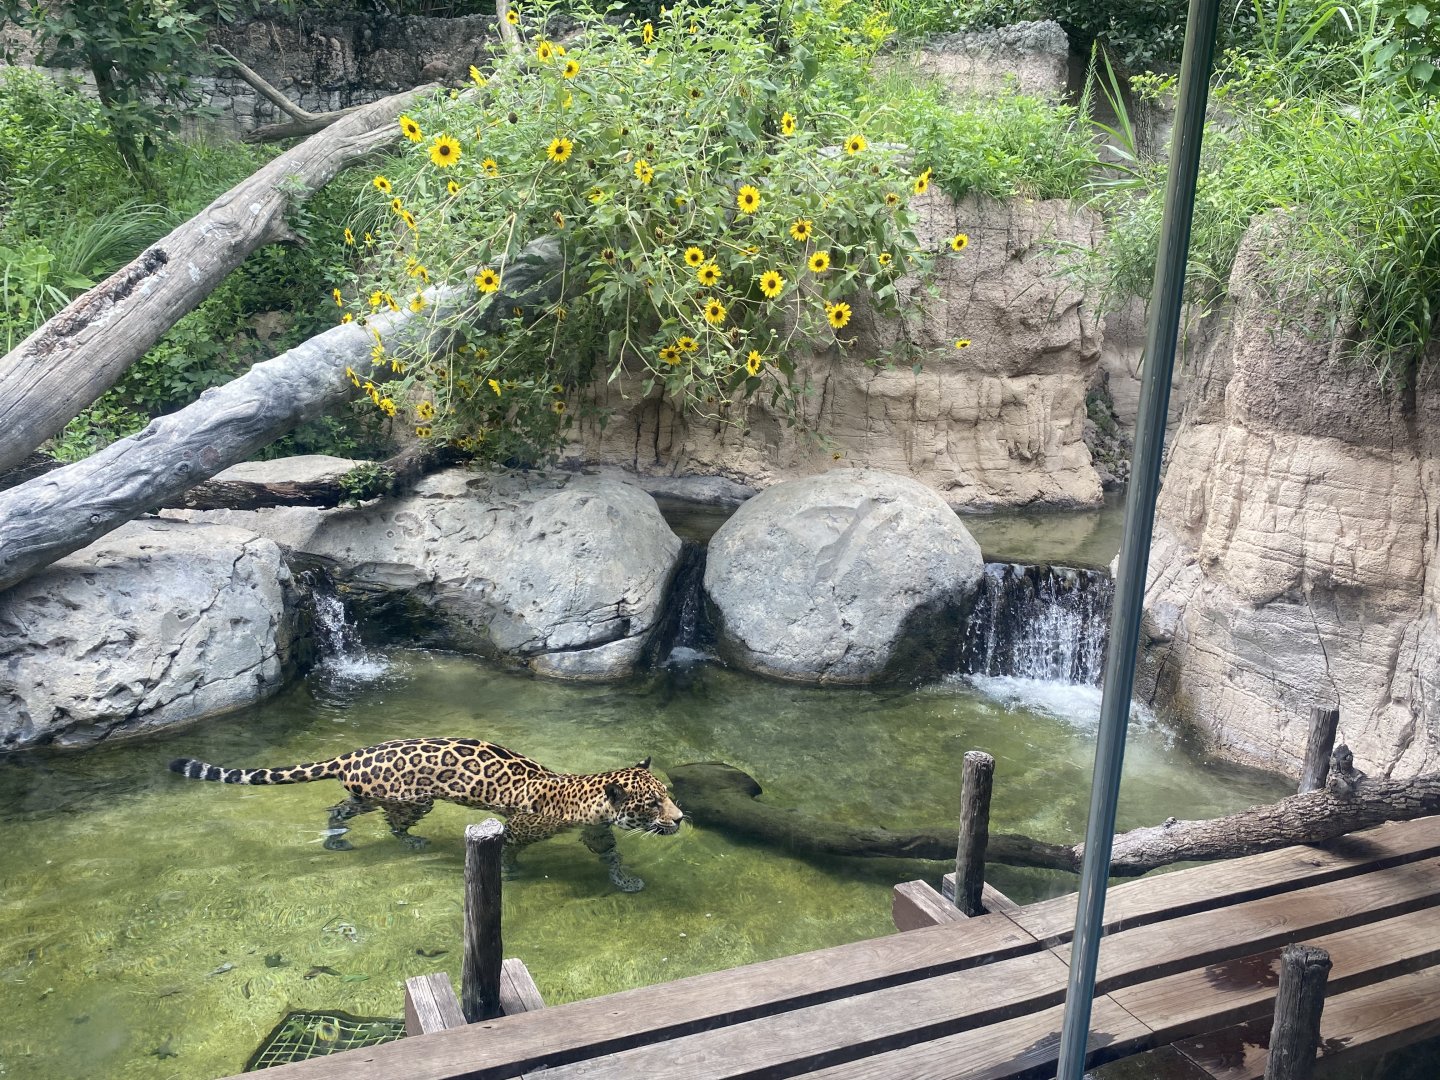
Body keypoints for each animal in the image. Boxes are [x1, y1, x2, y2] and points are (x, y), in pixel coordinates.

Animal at [168, 737, 683, 892]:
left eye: (668, 796)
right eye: (652, 803)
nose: (680, 818)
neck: (584, 799)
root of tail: (353, 754)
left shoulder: (598, 832)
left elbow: (610, 854)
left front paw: (625, 879)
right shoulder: (518, 827)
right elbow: (510, 850)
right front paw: (511, 873)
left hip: (366, 794)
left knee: (341, 806)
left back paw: (336, 837)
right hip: (413, 799)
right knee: (392, 823)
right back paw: (411, 842)